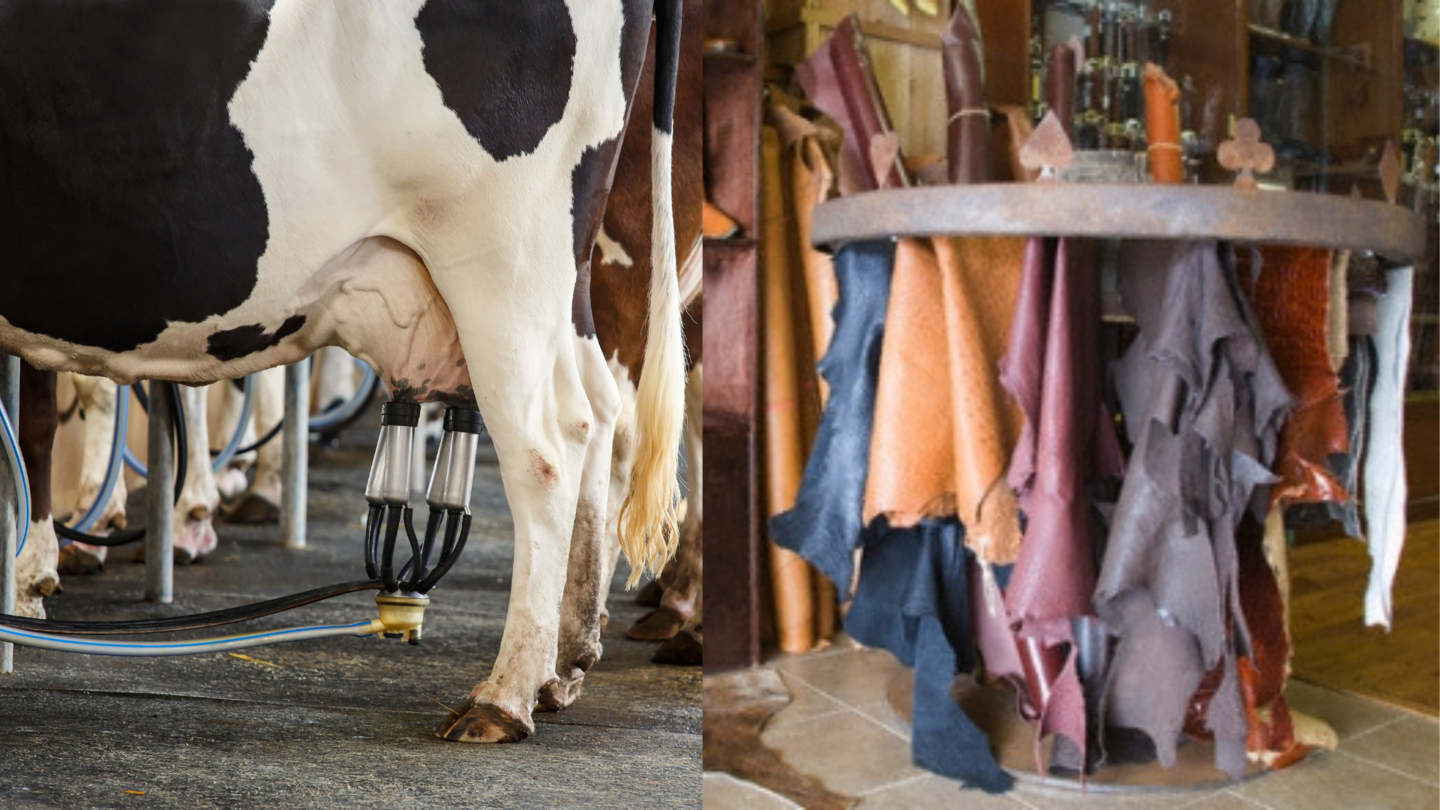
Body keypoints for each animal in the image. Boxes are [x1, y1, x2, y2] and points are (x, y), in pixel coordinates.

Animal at [0, 0, 685, 743]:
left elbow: (41, 417)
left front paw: (32, 575)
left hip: (504, 257)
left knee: (551, 446)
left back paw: (504, 696)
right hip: (567, 281)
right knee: (606, 414)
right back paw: (566, 660)